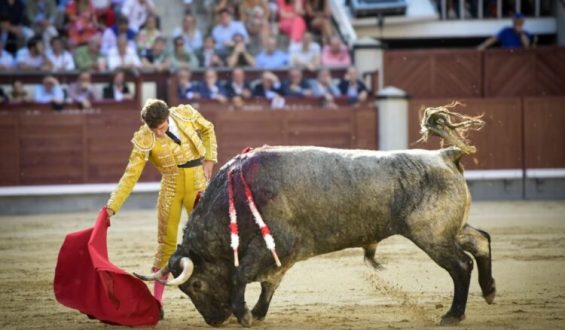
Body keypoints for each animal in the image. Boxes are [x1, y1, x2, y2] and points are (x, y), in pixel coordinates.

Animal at [137, 104, 494, 326]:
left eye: (196, 285)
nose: (214, 321)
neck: (233, 199)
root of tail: (445, 154)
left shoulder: (272, 245)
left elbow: (242, 276)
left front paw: (245, 315)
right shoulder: (284, 253)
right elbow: (269, 283)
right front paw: (258, 312)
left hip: (430, 234)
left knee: (461, 264)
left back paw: (453, 315)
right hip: (449, 229)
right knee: (481, 241)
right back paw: (489, 291)